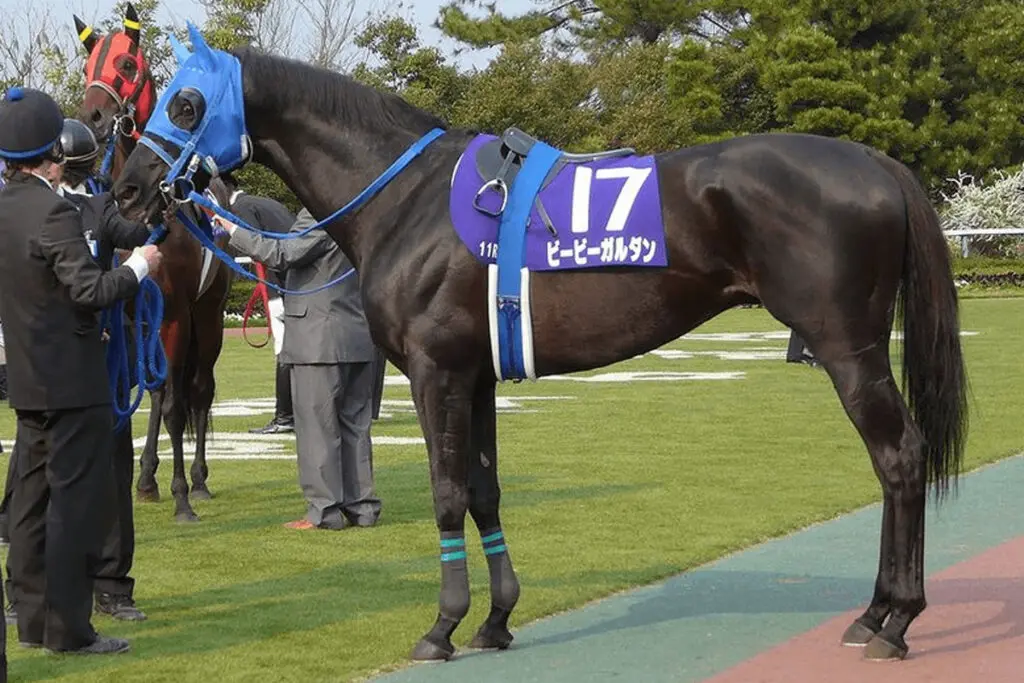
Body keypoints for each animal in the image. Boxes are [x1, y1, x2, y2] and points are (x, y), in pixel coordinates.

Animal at [74, 7, 234, 522]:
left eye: (126, 65)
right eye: (89, 67)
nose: (93, 116)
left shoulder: (177, 313)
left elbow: (177, 405)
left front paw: (182, 494)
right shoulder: (126, 315)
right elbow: (134, 394)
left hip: (208, 315)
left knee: (196, 390)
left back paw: (196, 481)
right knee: (161, 388)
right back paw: (147, 477)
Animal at [113, 28, 967, 663]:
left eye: (186, 101)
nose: (126, 187)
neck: (406, 197)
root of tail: (876, 162)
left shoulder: (434, 372)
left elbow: (447, 492)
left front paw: (441, 626)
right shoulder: (478, 375)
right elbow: (485, 490)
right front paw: (495, 619)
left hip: (846, 346)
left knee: (899, 456)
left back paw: (896, 618)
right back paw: (876, 612)